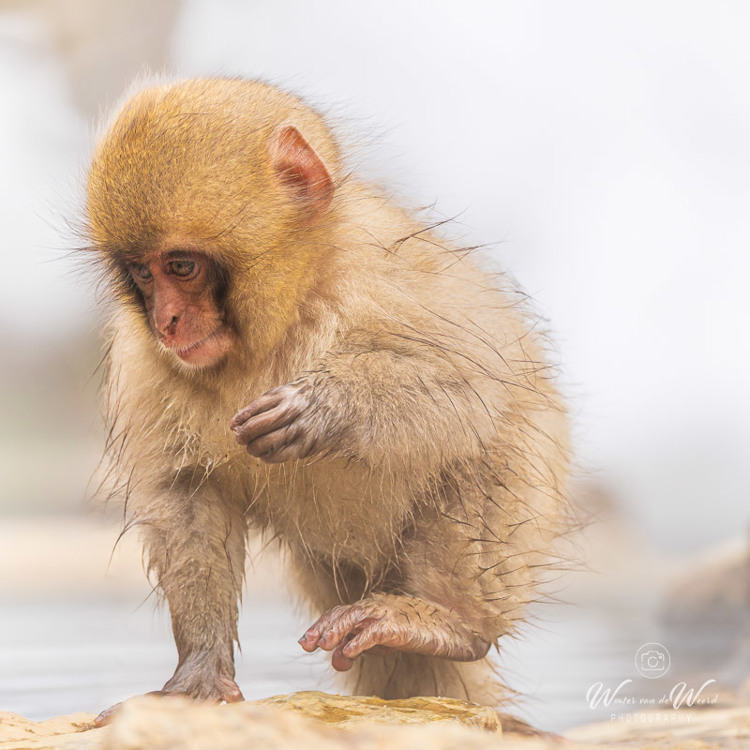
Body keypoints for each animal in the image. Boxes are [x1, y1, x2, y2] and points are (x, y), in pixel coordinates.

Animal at [83, 77, 570, 725]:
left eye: (180, 266)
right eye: (141, 274)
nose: (168, 321)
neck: (279, 319)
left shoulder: (379, 264)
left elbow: (474, 379)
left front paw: (324, 407)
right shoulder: (146, 363)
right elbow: (186, 495)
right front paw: (201, 666)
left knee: (483, 447)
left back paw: (453, 622)